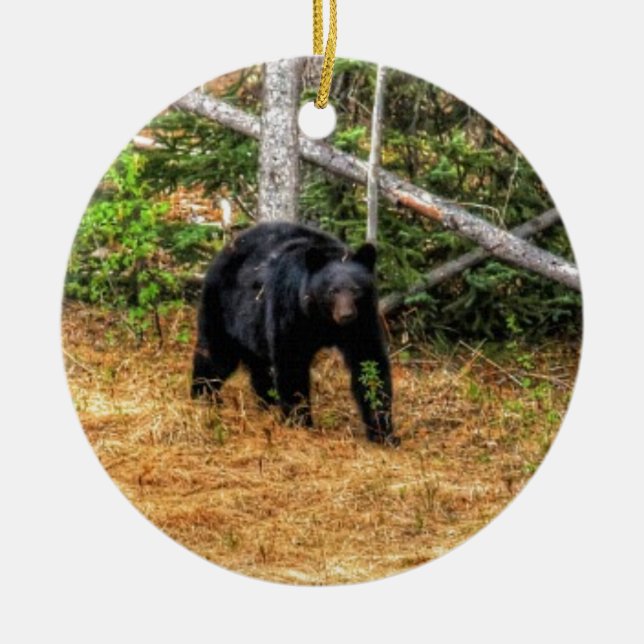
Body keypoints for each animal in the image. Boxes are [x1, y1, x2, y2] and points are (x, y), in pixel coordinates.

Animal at [191, 221, 399, 446]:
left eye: (355, 290)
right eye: (332, 291)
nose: (346, 315)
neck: (322, 319)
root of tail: (225, 248)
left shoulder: (363, 321)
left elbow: (369, 362)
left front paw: (383, 431)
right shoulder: (290, 309)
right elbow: (291, 362)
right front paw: (300, 422)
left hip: (254, 328)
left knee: (260, 366)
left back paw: (268, 402)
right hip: (223, 307)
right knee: (215, 354)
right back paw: (202, 396)